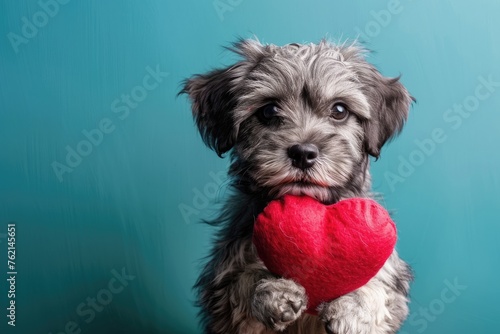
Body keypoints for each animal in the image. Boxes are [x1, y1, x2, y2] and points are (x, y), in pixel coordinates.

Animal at [182, 39, 412, 334]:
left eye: (339, 110)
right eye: (268, 111)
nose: (303, 153)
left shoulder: (390, 275)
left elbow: (377, 284)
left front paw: (353, 310)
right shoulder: (224, 283)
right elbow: (246, 278)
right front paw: (274, 292)